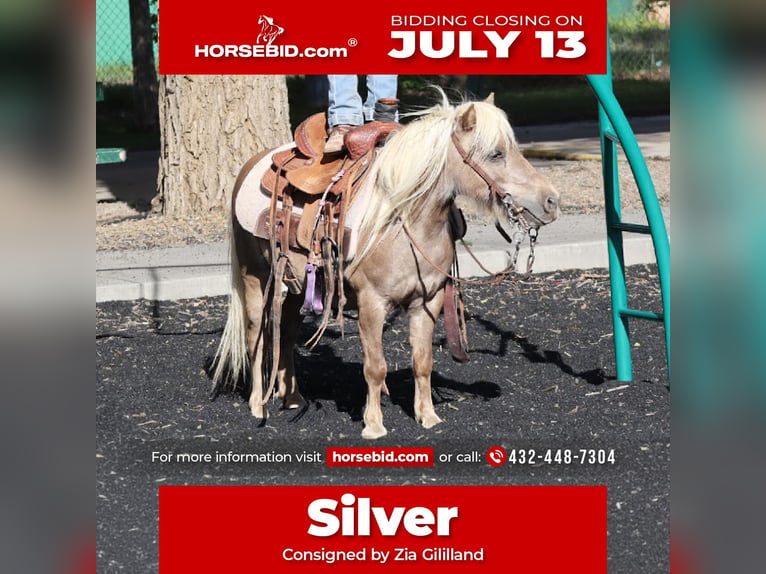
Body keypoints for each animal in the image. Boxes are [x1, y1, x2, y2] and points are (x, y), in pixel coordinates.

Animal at [212, 93, 560, 439]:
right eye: (496, 153)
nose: (552, 201)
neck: (404, 222)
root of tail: (253, 163)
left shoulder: (428, 301)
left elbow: (423, 361)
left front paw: (428, 417)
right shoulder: (372, 303)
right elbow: (375, 367)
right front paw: (374, 425)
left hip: (300, 286)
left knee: (286, 330)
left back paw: (293, 397)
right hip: (255, 277)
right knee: (256, 336)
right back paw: (259, 406)